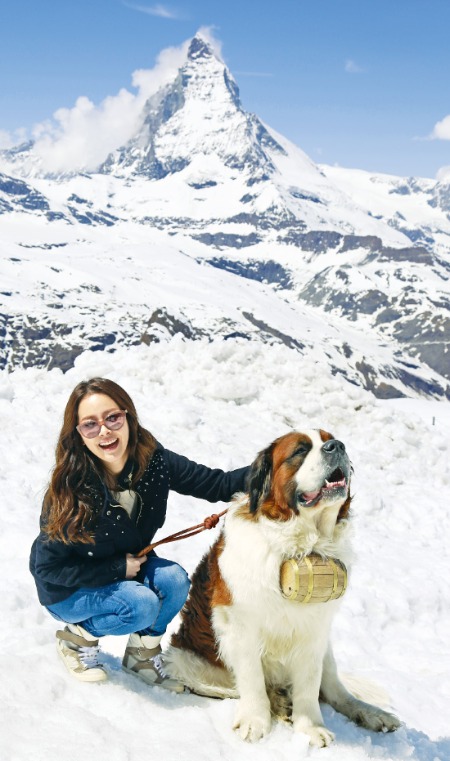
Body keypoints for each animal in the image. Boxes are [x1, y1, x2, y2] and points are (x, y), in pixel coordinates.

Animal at [163, 430, 400, 744]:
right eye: (299, 451)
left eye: (330, 439)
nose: (337, 446)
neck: (302, 544)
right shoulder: (240, 625)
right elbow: (252, 679)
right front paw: (255, 721)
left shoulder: (315, 632)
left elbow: (310, 686)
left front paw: (310, 727)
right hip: (182, 660)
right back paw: (277, 702)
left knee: (335, 691)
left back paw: (370, 713)